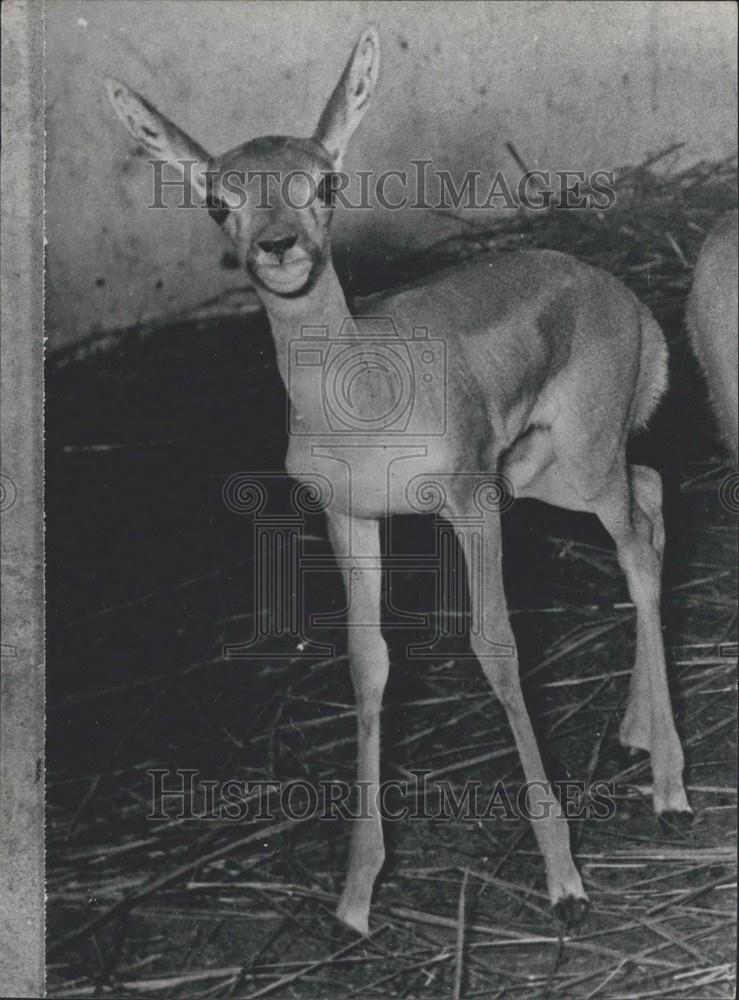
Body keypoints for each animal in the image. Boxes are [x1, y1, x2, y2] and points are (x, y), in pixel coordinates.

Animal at [105, 26, 691, 935]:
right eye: (218, 201)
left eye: (324, 180)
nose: (279, 247)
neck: (361, 390)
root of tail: (618, 293)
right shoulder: (351, 519)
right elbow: (367, 662)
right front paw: (355, 894)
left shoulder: (470, 503)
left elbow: (496, 647)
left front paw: (563, 877)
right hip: (547, 476)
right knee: (655, 492)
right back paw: (636, 732)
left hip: (579, 464)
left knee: (635, 544)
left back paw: (668, 784)